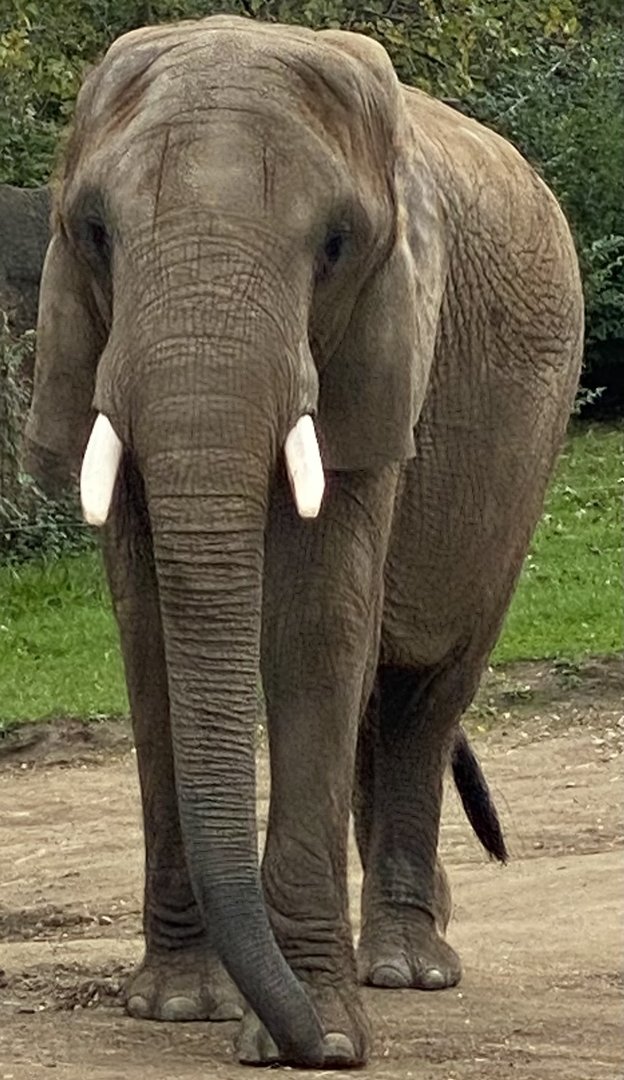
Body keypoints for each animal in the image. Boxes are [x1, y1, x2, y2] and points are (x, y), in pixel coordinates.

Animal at [23, 16, 583, 1070]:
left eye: (335, 245)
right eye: (95, 233)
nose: (323, 1054)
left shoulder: (386, 344)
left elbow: (317, 625)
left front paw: (315, 1026)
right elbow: (148, 632)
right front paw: (178, 1008)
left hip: (528, 456)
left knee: (423, 689)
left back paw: (407, 969)